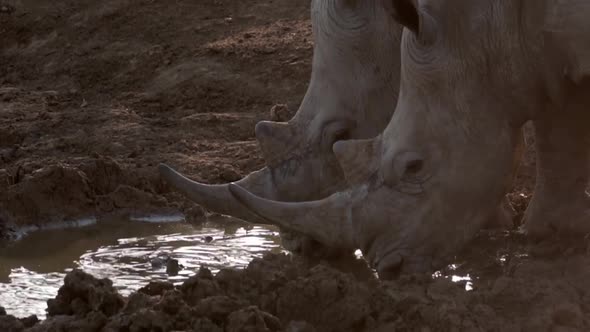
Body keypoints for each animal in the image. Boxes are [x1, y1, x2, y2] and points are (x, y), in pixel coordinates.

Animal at [225, 0, 590, 278]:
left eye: (414, 167)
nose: (388, 269)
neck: (490, 24)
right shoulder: (548, 52)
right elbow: (560, 129)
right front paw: (550, 231)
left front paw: (552, 237)